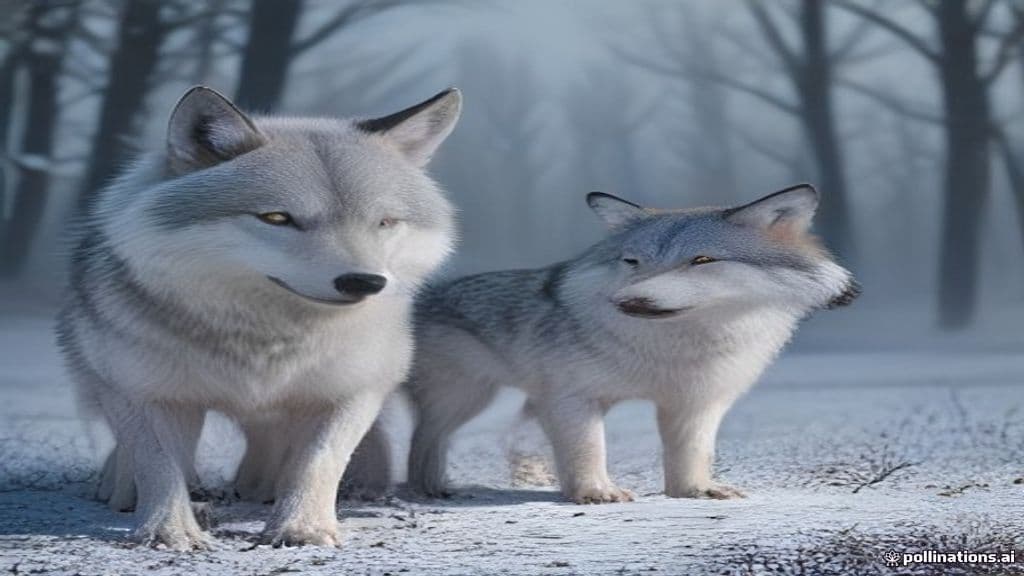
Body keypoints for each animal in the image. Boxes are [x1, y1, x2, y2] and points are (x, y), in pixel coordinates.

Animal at [56, 85, 461, 549]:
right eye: (277, 218)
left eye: (385, 222)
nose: (364, 281)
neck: (266, 340)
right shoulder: (142, 392)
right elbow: (158, 464)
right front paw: (168, 533)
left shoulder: (355, 389)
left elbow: (319, 459)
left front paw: (302, 529)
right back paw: (128, 489)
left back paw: (260, 487)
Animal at [395, 185, 858, 503]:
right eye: (632, 261)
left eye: (702, 260)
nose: (628, 300)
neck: (673, 351)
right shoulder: (570, 398)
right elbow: (588, 448)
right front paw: (595, 493)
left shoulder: (697, 403)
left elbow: (694, 452)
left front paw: (693, 491)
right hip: (468, 400)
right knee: (424, 441)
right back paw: (430, 490)